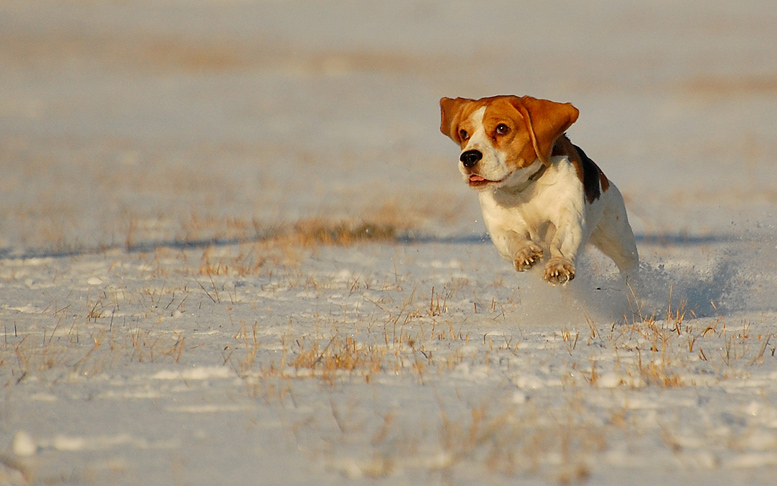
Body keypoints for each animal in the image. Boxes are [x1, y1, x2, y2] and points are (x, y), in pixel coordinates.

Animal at [440, 95, 640, 284]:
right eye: (464, 133)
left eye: (502, 128)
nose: (468, 157)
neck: (522, 188)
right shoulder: (498, 227)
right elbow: (510, 238)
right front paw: (525, 252)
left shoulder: (569, 216)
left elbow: (560, 242)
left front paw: (559, 265)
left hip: (618, 236)